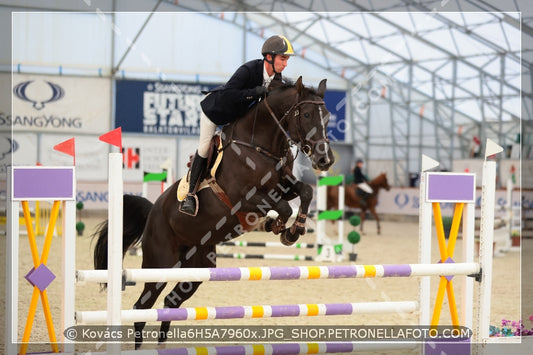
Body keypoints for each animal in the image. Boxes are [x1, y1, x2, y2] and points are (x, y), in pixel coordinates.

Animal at [91, 76, 332, 350]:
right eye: (307, 114)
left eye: (328, 117)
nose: (325, 160)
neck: (260, 145)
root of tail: (153, 211)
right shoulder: (244, 199)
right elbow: (282, 206)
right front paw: (283, 229)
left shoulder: (284, 186)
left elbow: (306, 192)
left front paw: (294, 229)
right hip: (159, 263)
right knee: (143, 306)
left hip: (197, 266)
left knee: (170, 303)